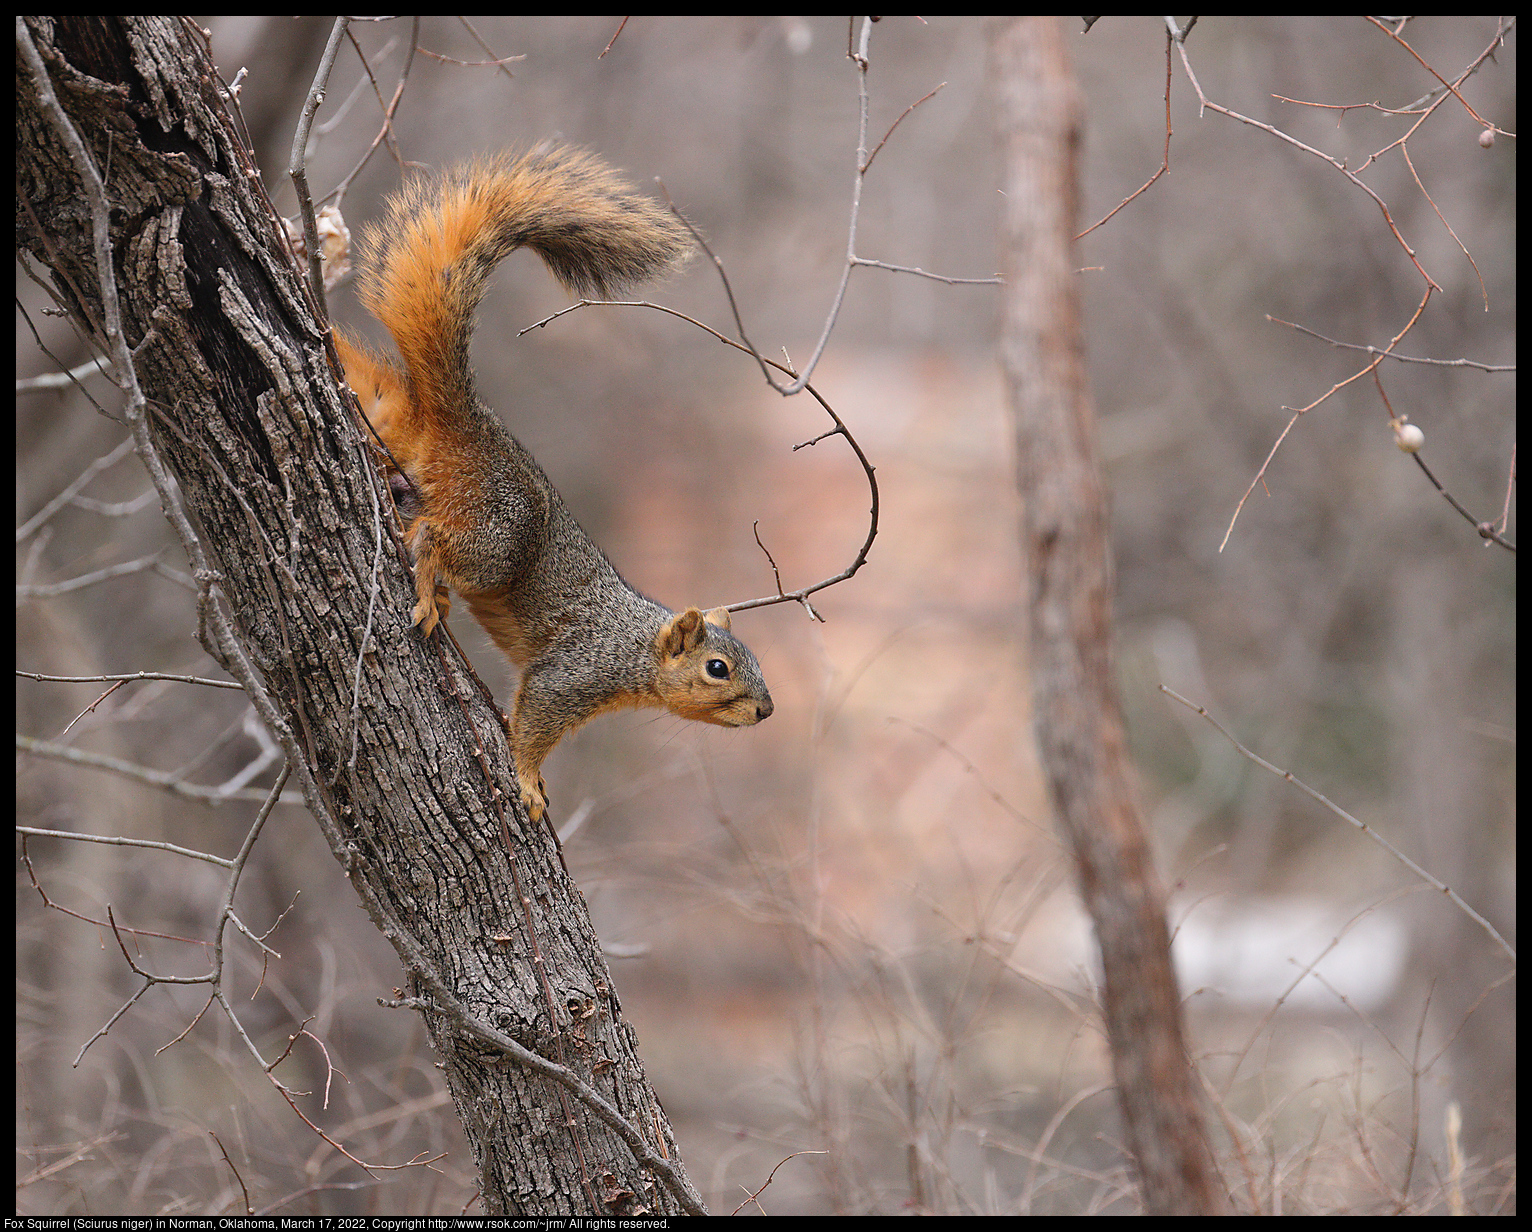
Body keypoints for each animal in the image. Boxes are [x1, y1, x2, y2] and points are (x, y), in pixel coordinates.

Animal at [332, 141, 766, 815]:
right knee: (433, 539)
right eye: (717, 668)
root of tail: (468, 425)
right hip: (496, 537)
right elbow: (533, 722)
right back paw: (429, 591)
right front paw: (528, 781)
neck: (635, 643)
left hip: (407, 458)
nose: (767, 710)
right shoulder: (575, 672)